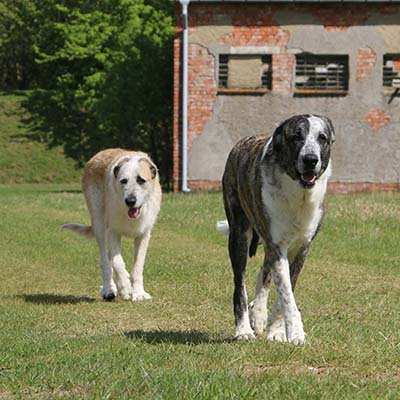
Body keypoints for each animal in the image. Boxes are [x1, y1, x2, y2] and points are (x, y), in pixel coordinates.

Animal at [63, 148, 162, 302]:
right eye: (123, 181)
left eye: (141, 180)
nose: (130, 201)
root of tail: (99, 154)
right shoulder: (113, 232)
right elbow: (117, 262)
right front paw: (125, 287)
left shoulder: (143, 235)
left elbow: (138, 266)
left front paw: (138, 293)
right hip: (99, 224)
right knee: (106, 260)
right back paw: (109, 289)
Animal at [222, 115, 334, 344]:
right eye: (296, 137)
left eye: (322, 138)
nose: (310, 159)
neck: (299, 194)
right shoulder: (277, 245)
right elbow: (286, 292)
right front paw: (296, 332)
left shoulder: (301, 248)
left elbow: (285, 289)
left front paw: (276, 331)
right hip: (239, 234)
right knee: (240, 285)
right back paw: (244, 329)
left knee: (264, 273)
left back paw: (258, 314)